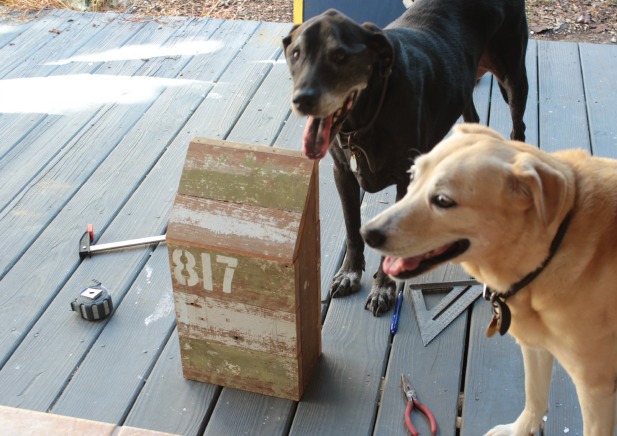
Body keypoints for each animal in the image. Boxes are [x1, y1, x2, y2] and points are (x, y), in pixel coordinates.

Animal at [282, 0, 528, 314]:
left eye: (340, 55)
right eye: (296, 53)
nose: (302, 100)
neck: (367, 116)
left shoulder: (404, 179)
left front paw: (383, 289)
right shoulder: (343, 173)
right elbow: (352, 229)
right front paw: (350, 273)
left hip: (513, 77)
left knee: (518, 126)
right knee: (471, 115)